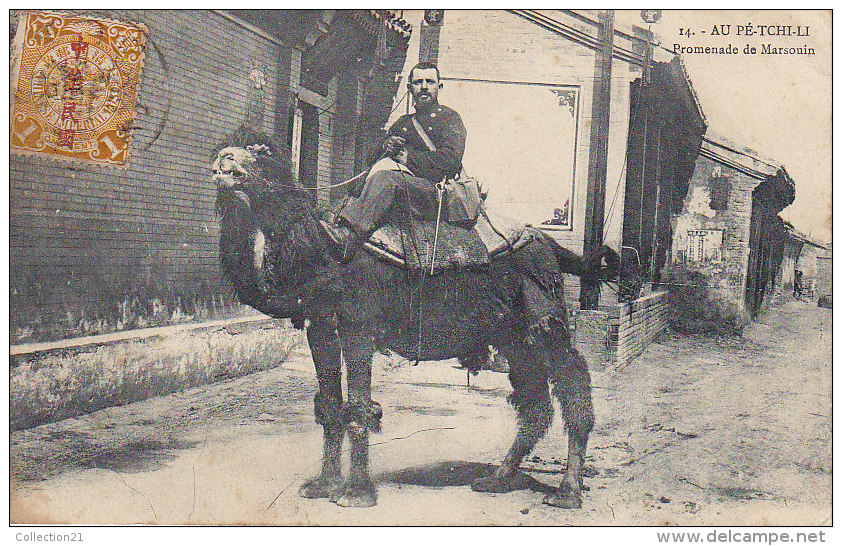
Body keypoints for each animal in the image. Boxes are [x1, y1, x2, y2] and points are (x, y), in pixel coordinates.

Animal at [210, 126, 616, 506]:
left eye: (259, 152)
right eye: (224, 149)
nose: (223, 163)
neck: (322, 249)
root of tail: (546, 242)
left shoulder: (359, 324)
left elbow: (359, 406)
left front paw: (356, 494)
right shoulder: (320, 326)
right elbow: (330, 406)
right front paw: (323, 486)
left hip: (544, 311)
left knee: (573, 381)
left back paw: (567, 492)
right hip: (511, 334)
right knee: (535, 402)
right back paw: (496, 479)